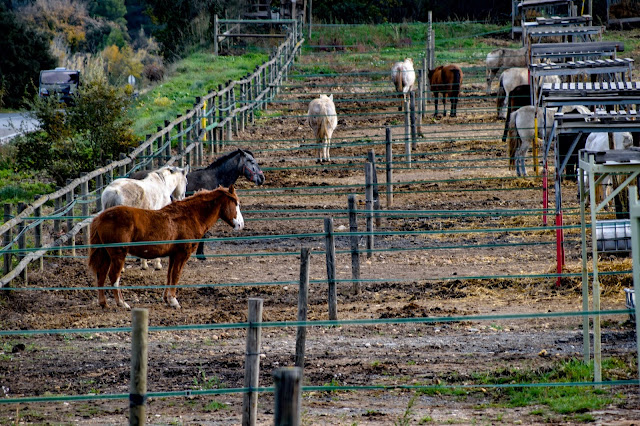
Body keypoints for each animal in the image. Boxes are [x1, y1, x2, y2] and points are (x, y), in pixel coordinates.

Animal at [87, 186, 242, 310]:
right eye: (235, 203)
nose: (241, 224)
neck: (189, 216)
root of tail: (100, 217)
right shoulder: (182, 255)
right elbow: (176, 276)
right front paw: (174, 301)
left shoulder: (173, 255)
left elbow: (169, 276)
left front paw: (167, 299)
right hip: (118, 255)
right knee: (114, 276)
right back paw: (122, 303)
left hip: (106, 255)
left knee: (101, 275)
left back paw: (104, 303)